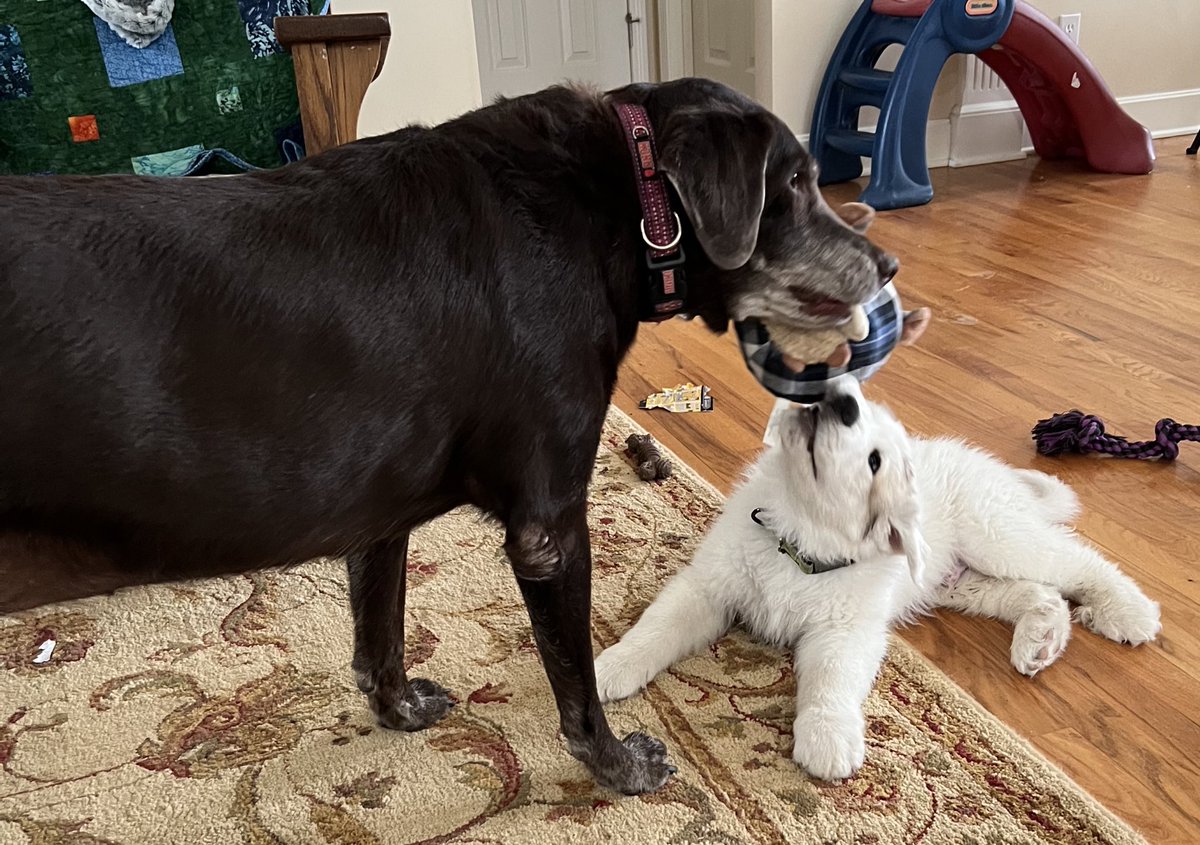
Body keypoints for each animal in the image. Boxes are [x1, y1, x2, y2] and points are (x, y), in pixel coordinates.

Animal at [595, 376, 1156, 777]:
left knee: (1079, 562)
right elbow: (657, 628)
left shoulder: (848, 628)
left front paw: (826, 737)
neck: (800, 542)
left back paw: (1130, 612)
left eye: (872, 458)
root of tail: (995, 473)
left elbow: (831, 679)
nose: (837, 399)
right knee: (1039, 593)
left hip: (996, 535)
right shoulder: (709, 587)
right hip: (959, 581)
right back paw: (1040, 638)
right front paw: (610, 667)